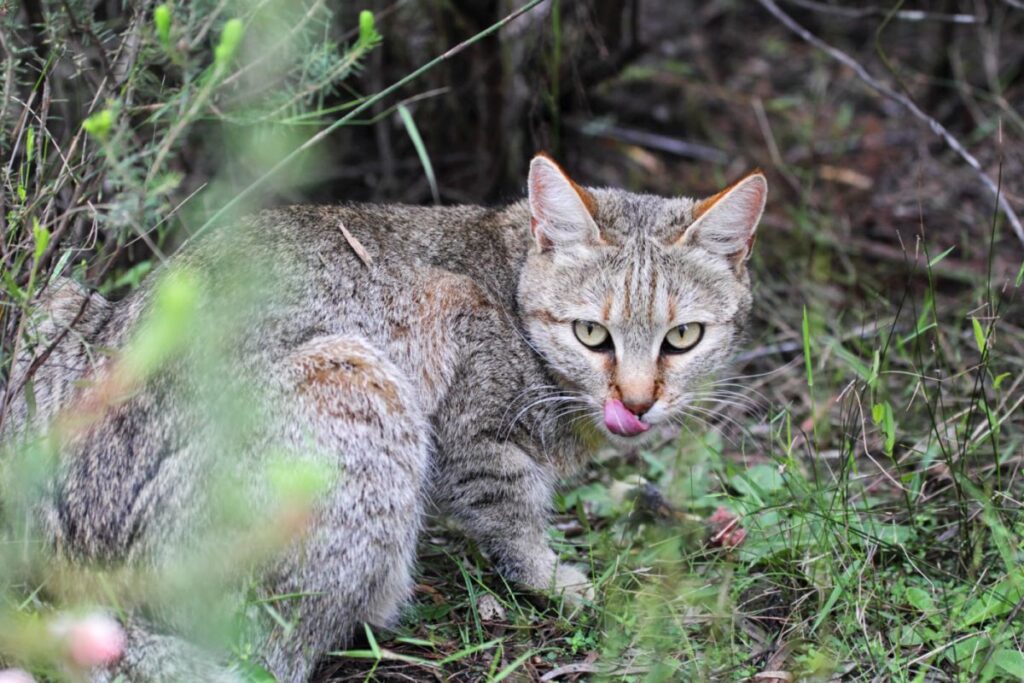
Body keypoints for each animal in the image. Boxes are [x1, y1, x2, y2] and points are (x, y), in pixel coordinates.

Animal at [2, 156, 770, 683]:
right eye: (591, 334)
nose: (637, 401)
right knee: (271, 656)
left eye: (682, 338)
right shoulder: (475, 431)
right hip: (355, 377)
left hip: (56, 304)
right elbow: (513, 517)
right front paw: (554, 579)